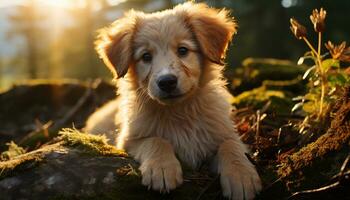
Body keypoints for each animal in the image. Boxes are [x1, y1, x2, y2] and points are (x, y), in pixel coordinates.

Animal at [86, 1, 262, 200]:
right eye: (146, 56)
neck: (180, 112)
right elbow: (155, 140)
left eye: (183, 50)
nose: (167, 82)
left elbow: (230, 145)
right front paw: (162, 167)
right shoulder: (128, 140)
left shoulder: (225, 133)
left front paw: (241, 175)